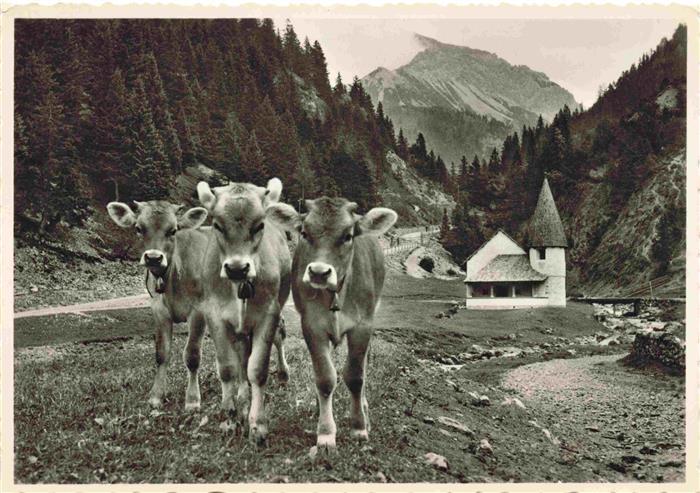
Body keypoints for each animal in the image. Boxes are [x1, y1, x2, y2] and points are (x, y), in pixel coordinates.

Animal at [104, 198, 208, 410]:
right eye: (138, 228)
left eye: (173, 230)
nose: (153, 257)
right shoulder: (159, 310)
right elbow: (161, 353)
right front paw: (156, 396)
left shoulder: (198, 310)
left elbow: (192, 355)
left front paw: (192, 400)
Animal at [194, 178, 290, 446]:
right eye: (217, 224)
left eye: (260, 225)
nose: (237, 268)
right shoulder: (215, 315)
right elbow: (228, 368)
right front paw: (230, 418)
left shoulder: (268, 313)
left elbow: (257, 369)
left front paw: (257, 426)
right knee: (241, 355)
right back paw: (242, 398)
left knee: (278, 337)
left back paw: (283, 373)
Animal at [266, 196, 400, 454]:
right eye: (305, 232)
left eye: (348, 235)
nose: (319, 272)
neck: (335, 294)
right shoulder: (312, 326)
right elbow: (325, 378)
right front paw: (326, 434)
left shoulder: (362, 326)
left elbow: (356, 376)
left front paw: (359, 428)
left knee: (363, 366)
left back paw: (364, 409)